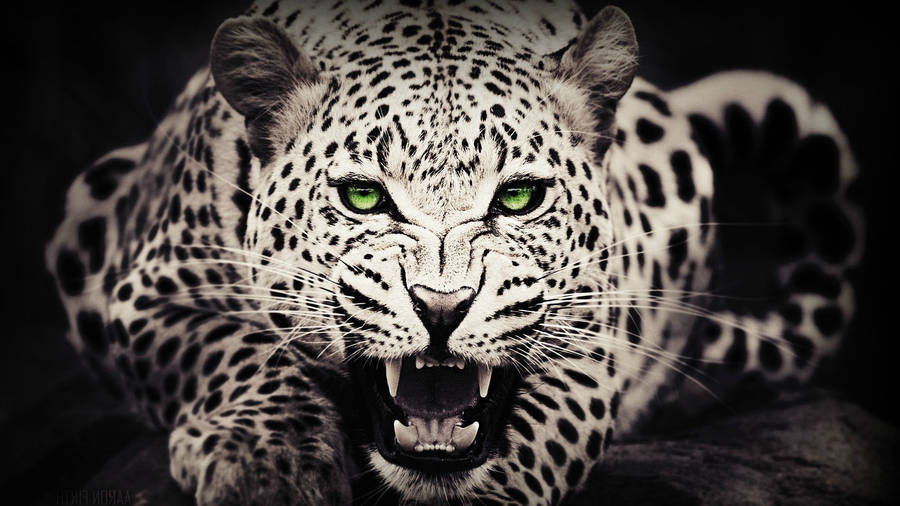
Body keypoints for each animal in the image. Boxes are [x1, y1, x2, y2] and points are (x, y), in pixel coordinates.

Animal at [45, 0, 864, 504]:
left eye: (519, 197)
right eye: (364, 197)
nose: (442, 308)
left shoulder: (594, 334)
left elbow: (544, 428)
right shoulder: (147, 290)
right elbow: (228, 350)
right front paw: (267, 463)